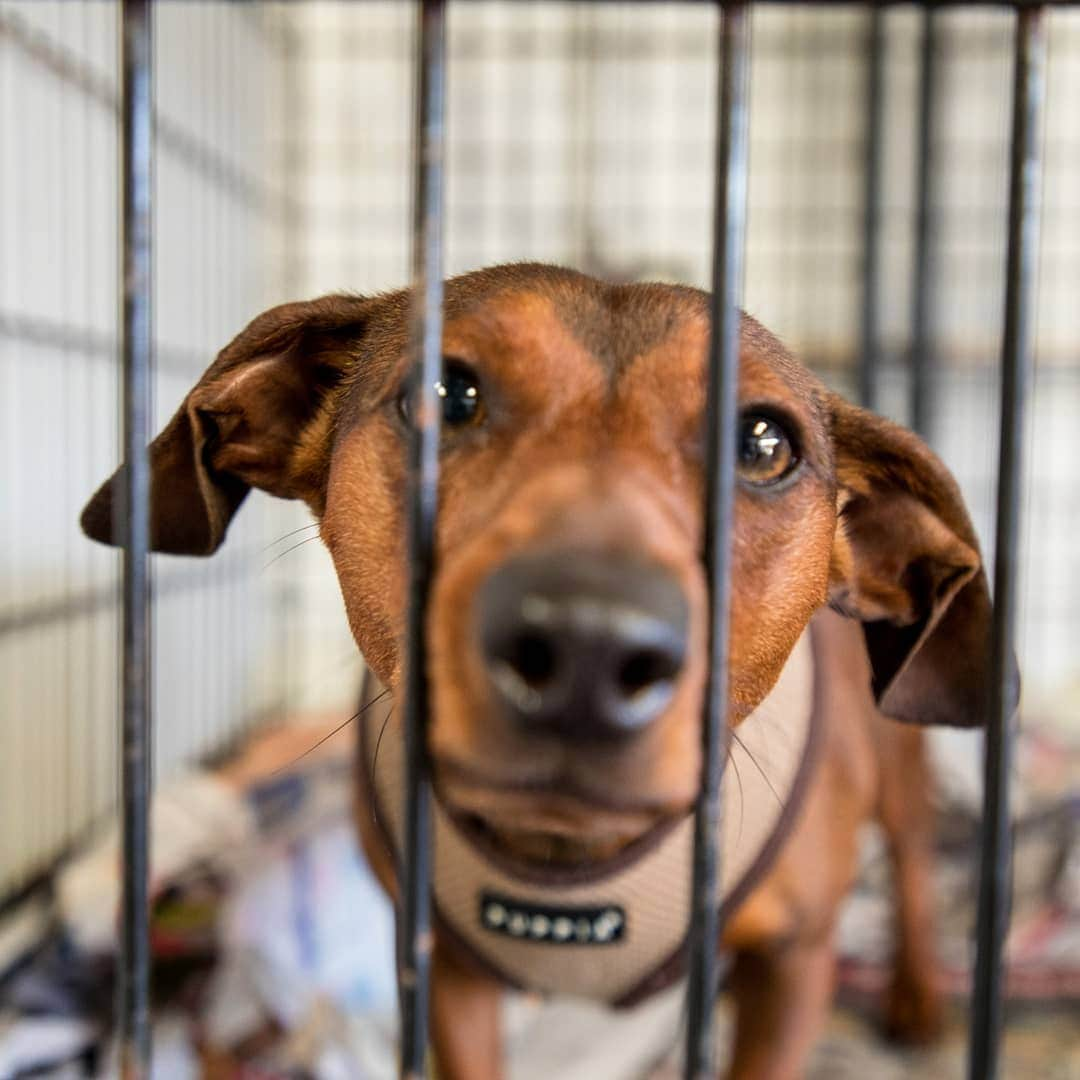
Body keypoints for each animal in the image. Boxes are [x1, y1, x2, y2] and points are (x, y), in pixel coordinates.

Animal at [84, 263, 993, 1080]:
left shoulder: (795, 964)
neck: (567, 858)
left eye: (764, 444)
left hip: (897, 768)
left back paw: (918, 993)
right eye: (445, 395)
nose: (587, 648)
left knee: (913, 865)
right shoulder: (448, 980)